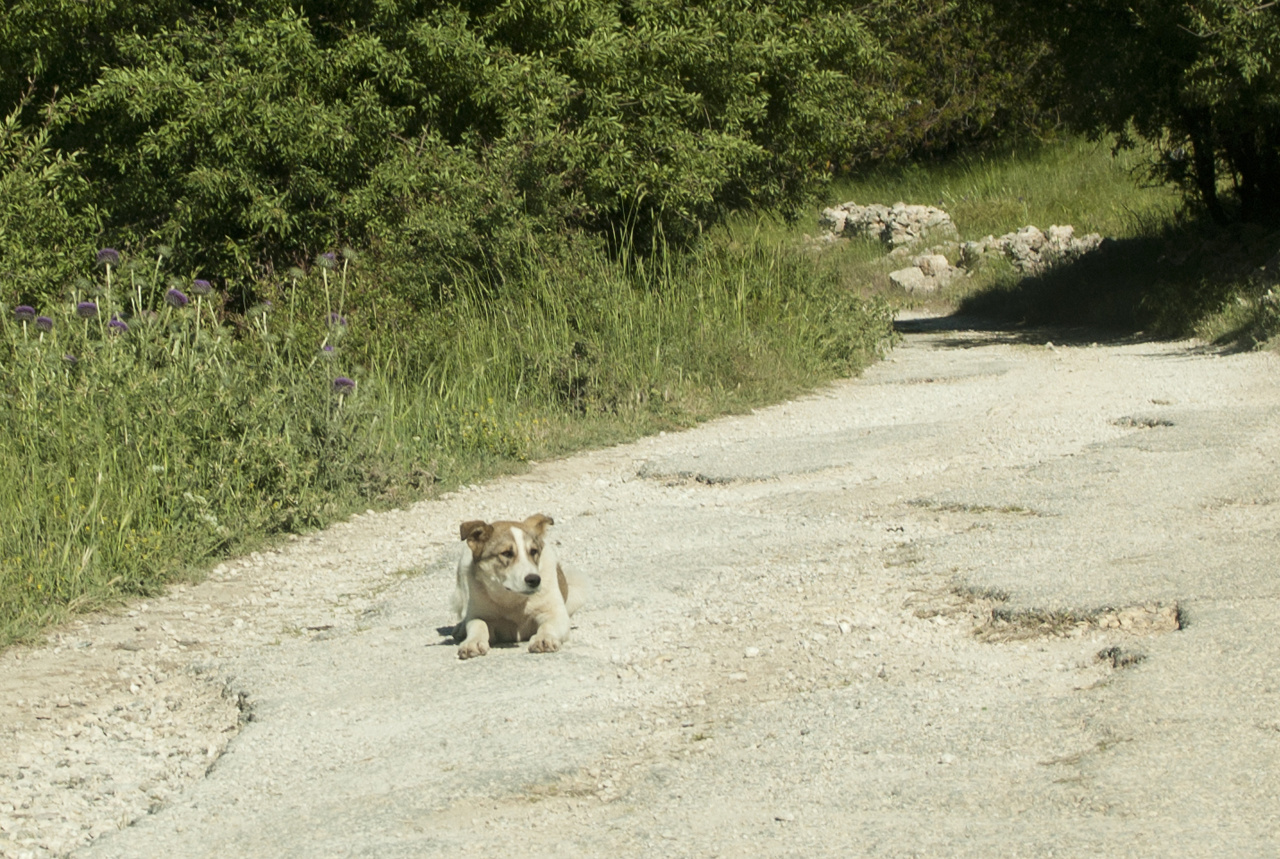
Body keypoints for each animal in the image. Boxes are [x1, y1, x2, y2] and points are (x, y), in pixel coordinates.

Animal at [450, 514, 586, 660]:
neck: (512, 600)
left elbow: (548, 625)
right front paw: (473, 642)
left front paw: (544, 639)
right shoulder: (480, 614)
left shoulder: (556, 614)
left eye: (533, 551)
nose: (534, 580)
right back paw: (460, 628)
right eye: (506, 553)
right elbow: (478, 624)